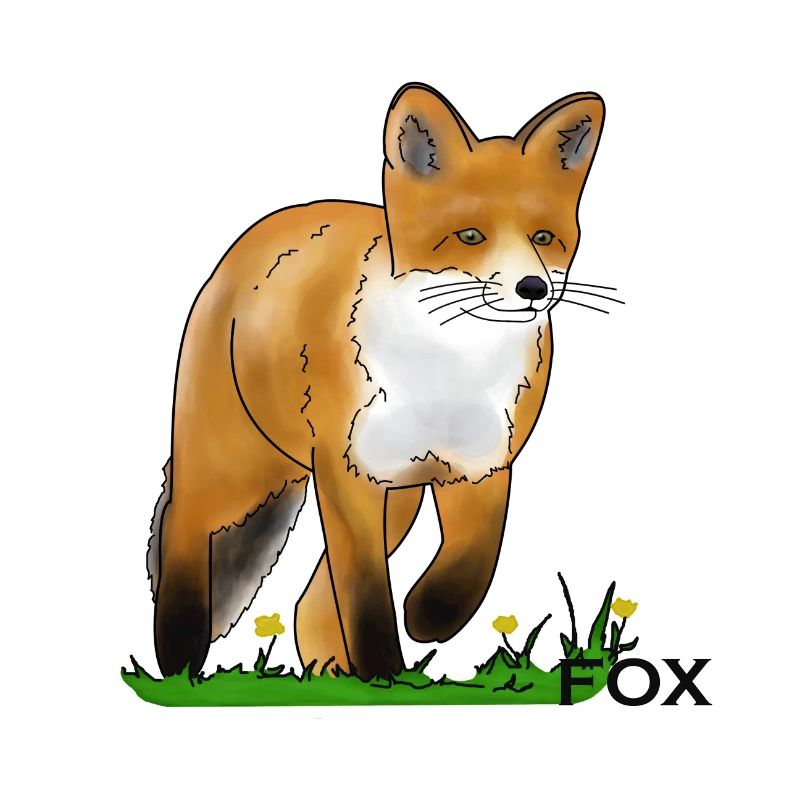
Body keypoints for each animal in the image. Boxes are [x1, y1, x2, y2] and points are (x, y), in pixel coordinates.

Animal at [147, 82, 606, 680]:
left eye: (544, 236)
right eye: (470, 235)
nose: (534, 288)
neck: (445, 374)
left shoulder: (482, 466)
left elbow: (472, 567)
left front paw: (428, 618)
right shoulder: (348, 476)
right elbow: (365, 598)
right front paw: (386, 671)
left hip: (398, 500)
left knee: (309, 606)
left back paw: (328, 676)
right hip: (237, 469)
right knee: (184, 527)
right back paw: (178, 656)